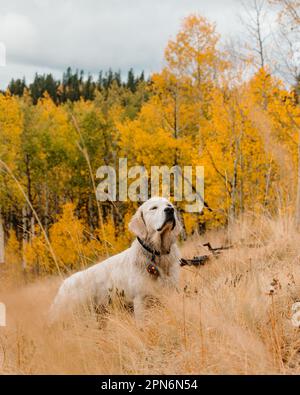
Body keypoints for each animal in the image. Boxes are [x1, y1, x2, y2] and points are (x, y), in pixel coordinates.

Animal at [50, 198, 182, 324]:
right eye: (153, 208)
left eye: (169, 205)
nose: (170, 210)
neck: (157, 254)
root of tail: (62, 286)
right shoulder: (140, 299)